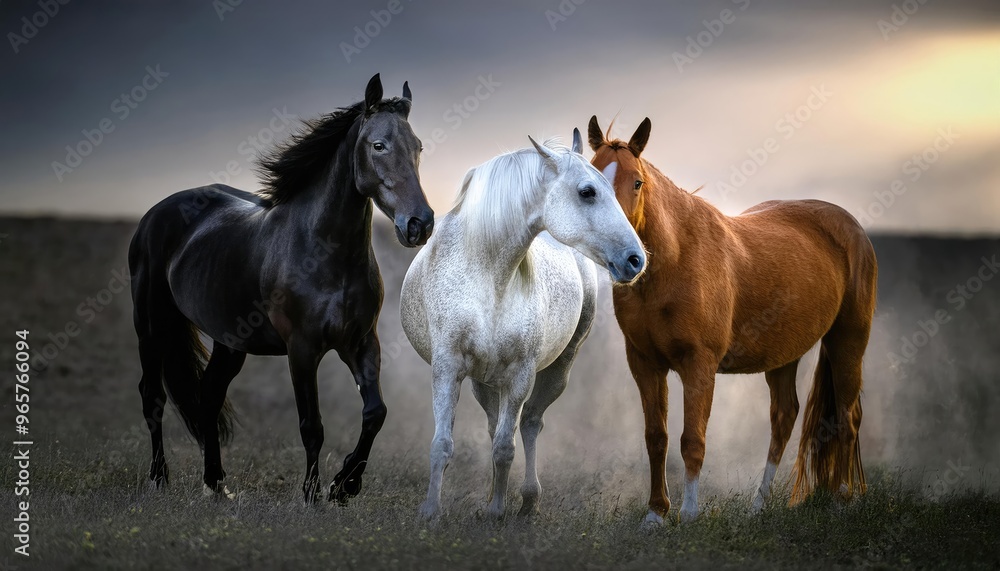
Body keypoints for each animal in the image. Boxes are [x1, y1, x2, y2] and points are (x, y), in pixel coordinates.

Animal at [127, 73, 434, 504]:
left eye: (418, 147)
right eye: (379, 145)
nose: (420, 224)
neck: (324, 252)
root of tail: (156, 213)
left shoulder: (361, 343)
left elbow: (376, 413)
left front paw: (345, 484)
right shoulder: (302, 349)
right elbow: (312, 425)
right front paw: (312, 493)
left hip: (230, 343)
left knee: (208, 397)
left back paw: (216, 484)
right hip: (152, 327)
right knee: (152, 397)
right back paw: (159, 478)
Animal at [400, 130, 646, 519]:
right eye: (587, 191)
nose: (635, 260)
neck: (488, 275)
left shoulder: (520, 374)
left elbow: (506, 447)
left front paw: (497, 513)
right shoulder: (448, 368)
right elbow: (443, 443)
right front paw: (431, 512)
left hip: (556, 370)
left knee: (529, 423)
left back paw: (528, 500)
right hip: (483, 381)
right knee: (494, 425)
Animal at [586, 115, 877, 526]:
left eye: (637, 182)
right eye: (589, 181)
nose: (625, 257)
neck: (676, 261)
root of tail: (850, 227)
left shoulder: (699, 365)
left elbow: (692, 440)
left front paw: (689, 514)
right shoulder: (645, 364)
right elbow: (656, 438)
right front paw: (656, 515)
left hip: (848, 341)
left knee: (848, 419)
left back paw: (841, 499)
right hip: (784, 357)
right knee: (784, 418)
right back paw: (759, 507)